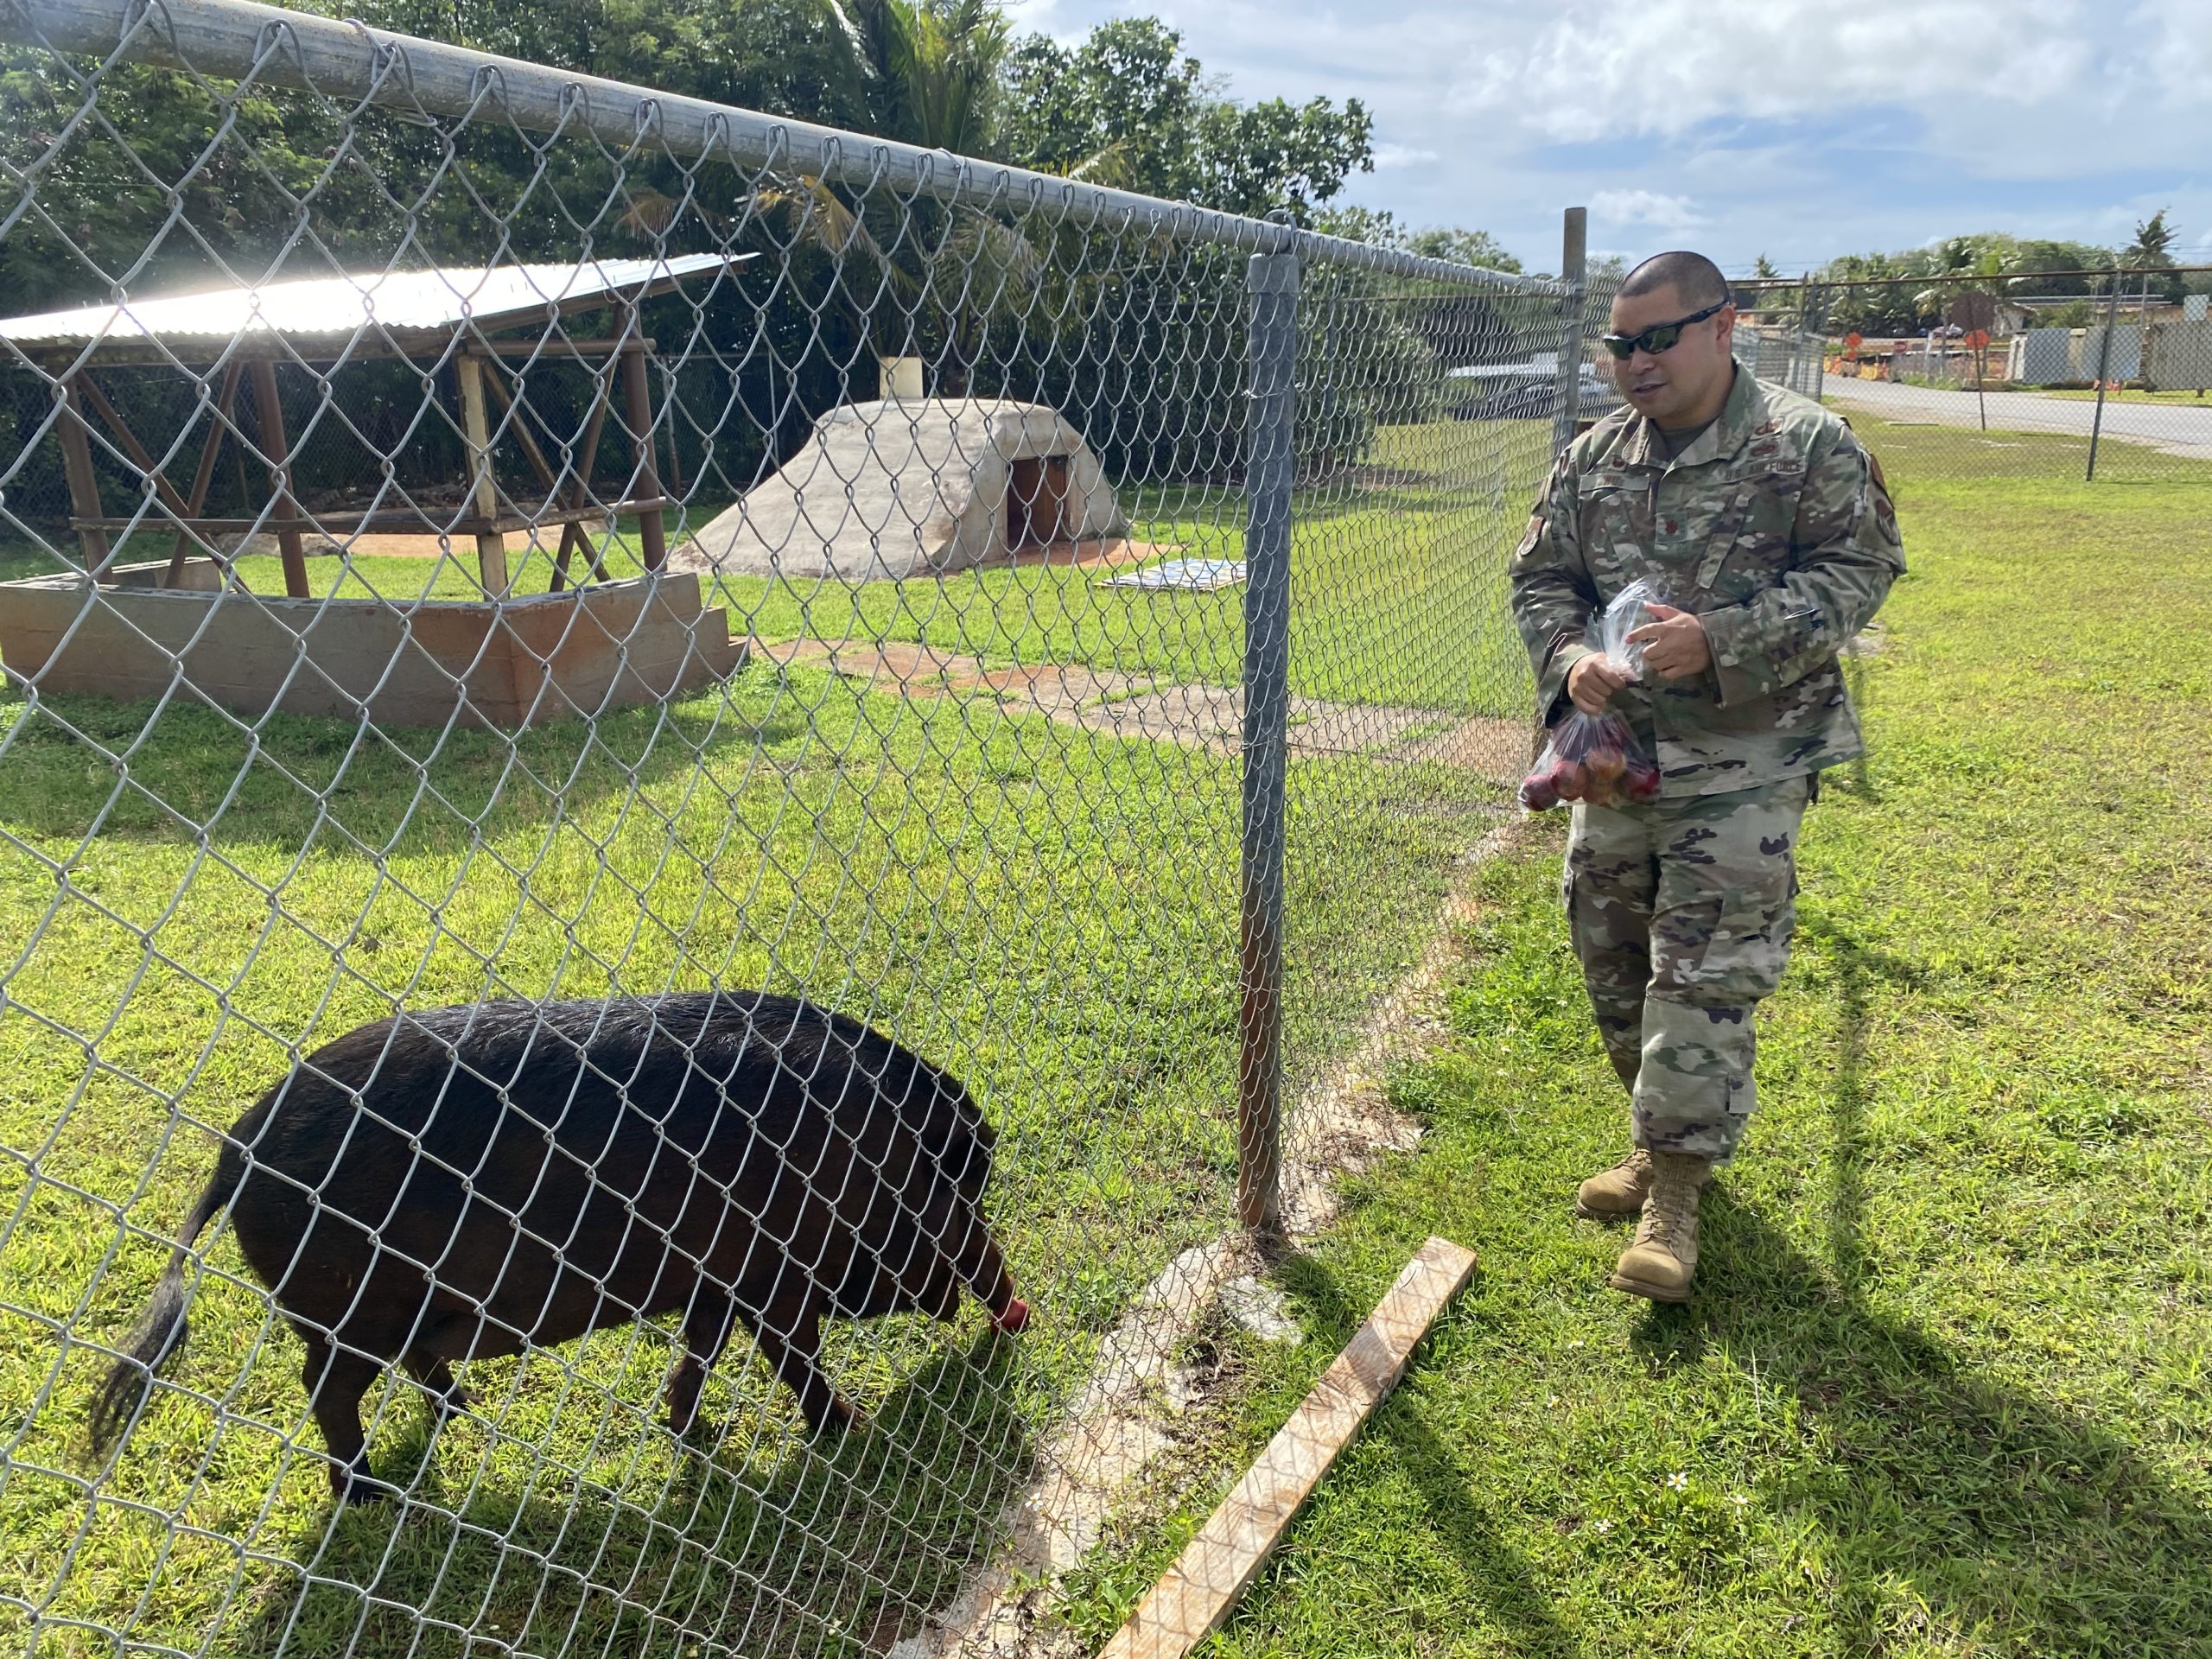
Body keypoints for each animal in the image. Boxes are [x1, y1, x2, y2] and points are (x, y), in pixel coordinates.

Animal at [81, 995, 1021, 1503]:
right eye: (954, 1194)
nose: (1015, 1306)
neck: (859, 1155)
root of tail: (234, 1150)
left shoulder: (716, 1279)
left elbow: (702, 1348)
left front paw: (691, 1429)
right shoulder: (770, 1274)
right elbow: (793, 1355)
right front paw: (848, 1427)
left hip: (403, 1306)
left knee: (402, 1365)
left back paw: (458, 1413)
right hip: (352, 1306)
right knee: (325, 1384)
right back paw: (369, 1494)